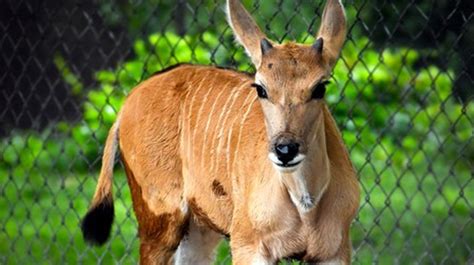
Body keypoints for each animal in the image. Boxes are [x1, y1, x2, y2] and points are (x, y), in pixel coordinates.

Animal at [83, 1, 362, 262]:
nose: (285, 149)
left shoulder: (335, 252)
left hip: (198, 230)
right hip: (160, 226)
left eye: (320, 88)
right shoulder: (248, 246)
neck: (305, 204)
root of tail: (127, 102)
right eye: (261, 88)